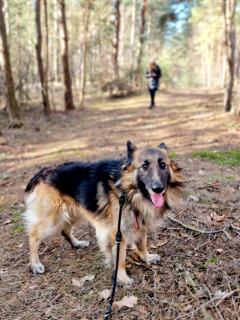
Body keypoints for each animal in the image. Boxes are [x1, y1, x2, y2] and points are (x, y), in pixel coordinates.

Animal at [23, 141, 184, 284]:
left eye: (163, 165)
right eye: (144, 166)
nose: (158, 189)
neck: (128, 191)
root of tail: (43, 171)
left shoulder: (139, 224)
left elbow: (142, 243)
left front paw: (147, 257)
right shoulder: (118, 233)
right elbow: (120, 258)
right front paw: (122, 278)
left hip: (73, 213)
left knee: (65, 230)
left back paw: (76, 243)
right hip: (52, 220)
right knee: (33, 237)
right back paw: (35, 263)